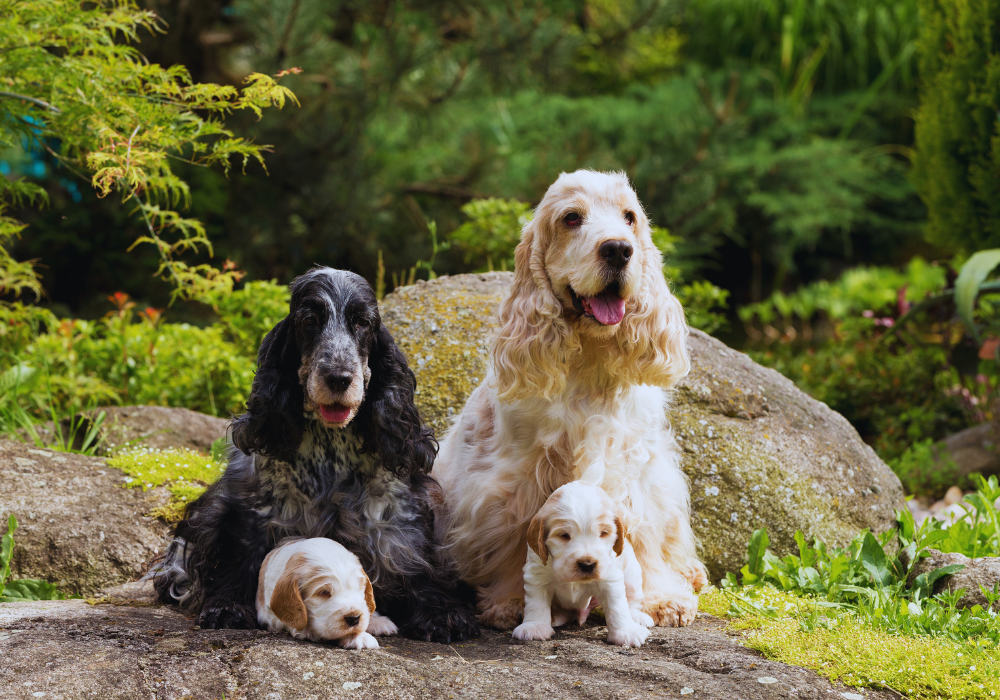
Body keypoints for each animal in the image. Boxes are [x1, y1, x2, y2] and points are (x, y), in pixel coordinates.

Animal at [512, 484, 652, 648]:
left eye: (603, 533)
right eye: (564, 535)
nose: (587, 564)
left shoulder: (610, 579)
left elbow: (617, 606)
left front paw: (626, 631)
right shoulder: (537, 575)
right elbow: (536, 603)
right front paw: (535, 626)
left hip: (632, 576)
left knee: (632, 600)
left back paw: (637, 617)